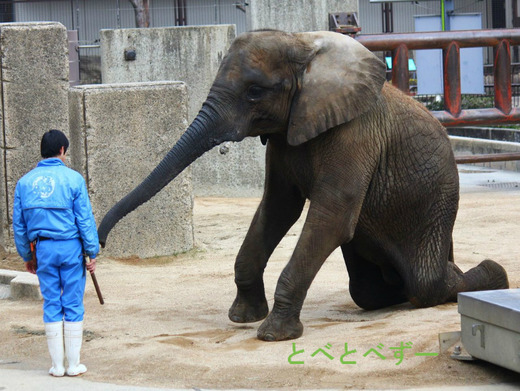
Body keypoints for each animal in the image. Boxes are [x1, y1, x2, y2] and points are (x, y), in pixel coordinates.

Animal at [97, 30, 508, 342]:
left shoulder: (355, 132)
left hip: (435, 208)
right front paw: (242, 317)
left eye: (254, 91)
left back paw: (494, 277)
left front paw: (273, 334)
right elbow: (277, 208)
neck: (305, 48)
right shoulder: (285, 135)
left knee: (427, 283)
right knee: (369, 290)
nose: (98, 245)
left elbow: (332, 216)